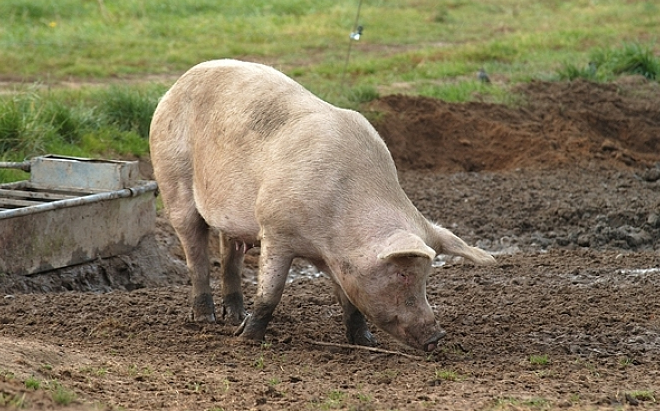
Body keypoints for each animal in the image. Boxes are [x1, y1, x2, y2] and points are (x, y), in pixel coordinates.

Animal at [147, 59, 492, 352]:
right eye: (403, 274)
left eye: (426, 277)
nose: (437, 336)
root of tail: (176, 85)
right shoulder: (275, 229)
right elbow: (271, 292)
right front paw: (246, 340)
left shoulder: (337, 258)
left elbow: (349, 300)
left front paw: (365, 342)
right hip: (172, 179)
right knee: (195, 253)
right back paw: (206, 318)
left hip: (230, 218)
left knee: (229, 255)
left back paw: (234, 316)